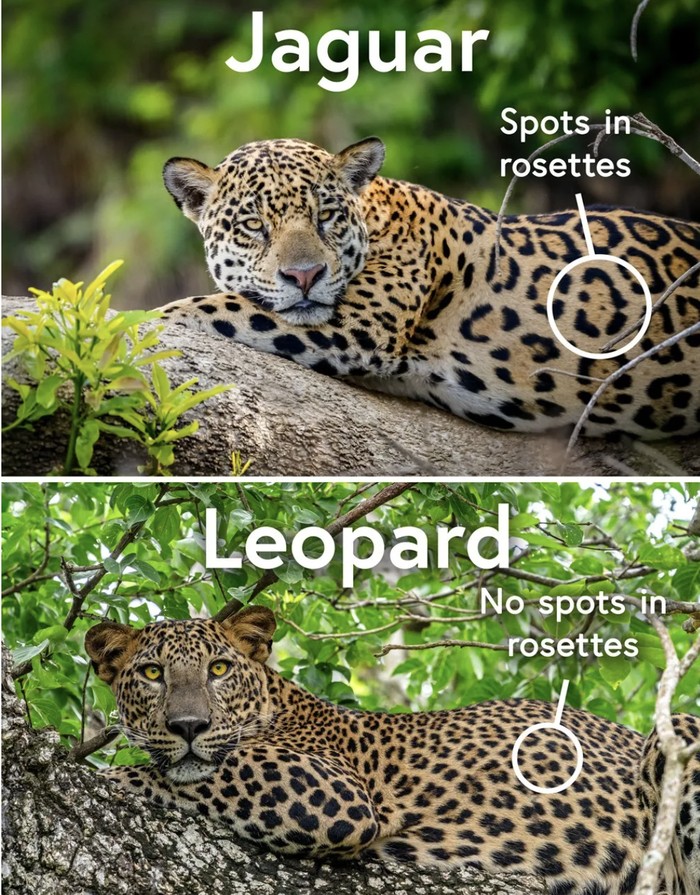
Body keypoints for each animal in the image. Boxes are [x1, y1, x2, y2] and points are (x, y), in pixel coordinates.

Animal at [85, 607, 700, 895]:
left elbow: (189, 772)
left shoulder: (329, 792)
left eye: (218, 670)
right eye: (151, 674)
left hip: (679, 729)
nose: (189, 725)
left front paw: (110, 773)